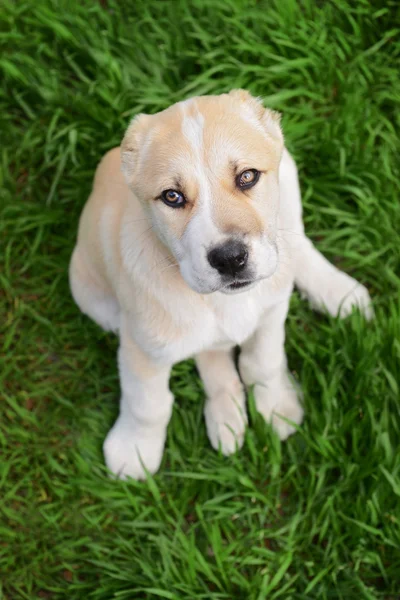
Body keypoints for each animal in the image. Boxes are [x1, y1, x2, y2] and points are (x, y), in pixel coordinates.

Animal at [69, 89, 372, 480]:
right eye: (172, 196)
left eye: (247, 176)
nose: (229, 259)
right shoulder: (142, 346)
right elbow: (147, 403)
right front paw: (134, 449)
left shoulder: (272, 314)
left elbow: (263, 362)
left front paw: (277, 405)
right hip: (93, 298)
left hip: (289, 180)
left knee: (295, 241)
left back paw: (338, 292)